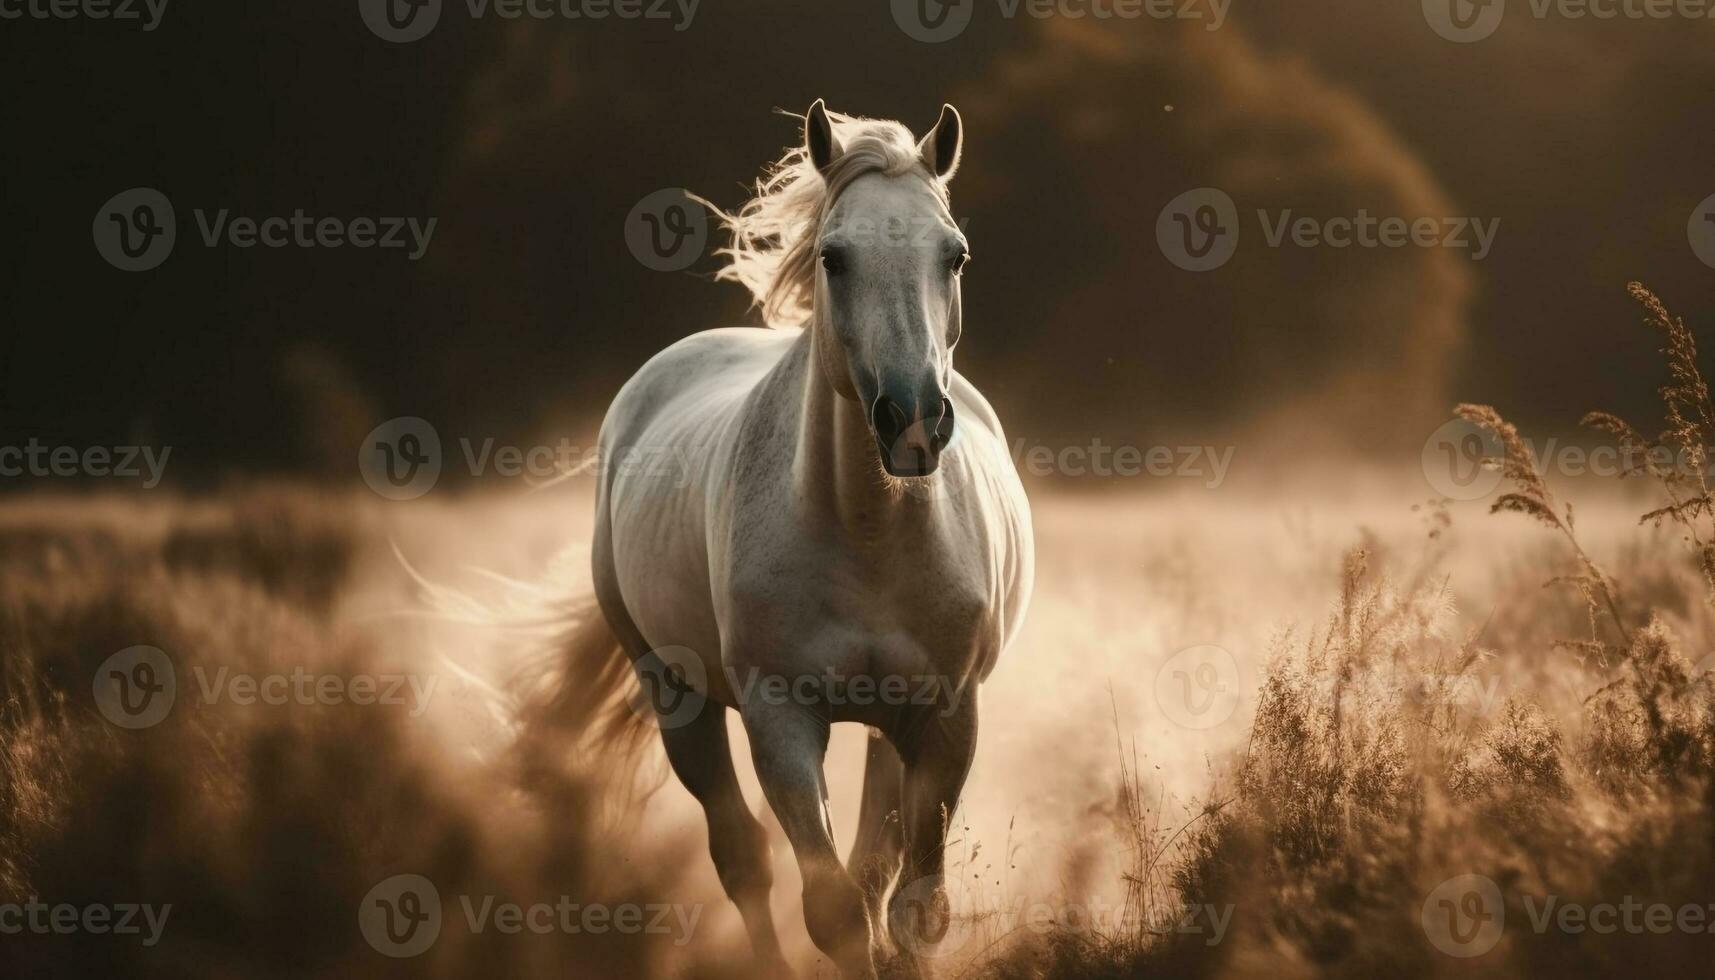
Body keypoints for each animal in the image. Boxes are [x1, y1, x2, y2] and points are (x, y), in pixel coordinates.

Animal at [541, 101, 1035, 980]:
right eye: (834, 257)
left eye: (955, 255)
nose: (913, 420)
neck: (869, 532)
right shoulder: (780, 721)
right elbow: (832, 909)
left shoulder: (946, 718)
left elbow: (912, 906)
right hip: (675, 693)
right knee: (741, 858)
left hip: (884, 729)